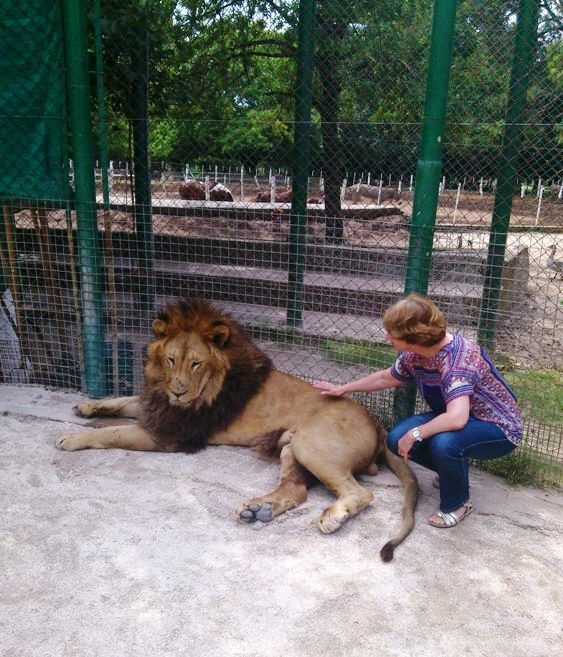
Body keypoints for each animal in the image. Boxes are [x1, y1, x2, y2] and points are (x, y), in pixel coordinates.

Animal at [57, 298, 418, 560]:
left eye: (196, 363)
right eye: (171, 359)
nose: (179, 392)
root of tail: (378, 424)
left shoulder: (171, 433)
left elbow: (111, 433)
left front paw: (71, 437)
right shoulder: (160, 408)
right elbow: (123, 401)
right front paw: (87, 407)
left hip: (313, 445)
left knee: (360, 493)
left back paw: (333, 516)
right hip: (292, 445)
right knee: (296, 490)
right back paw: (259, 509)